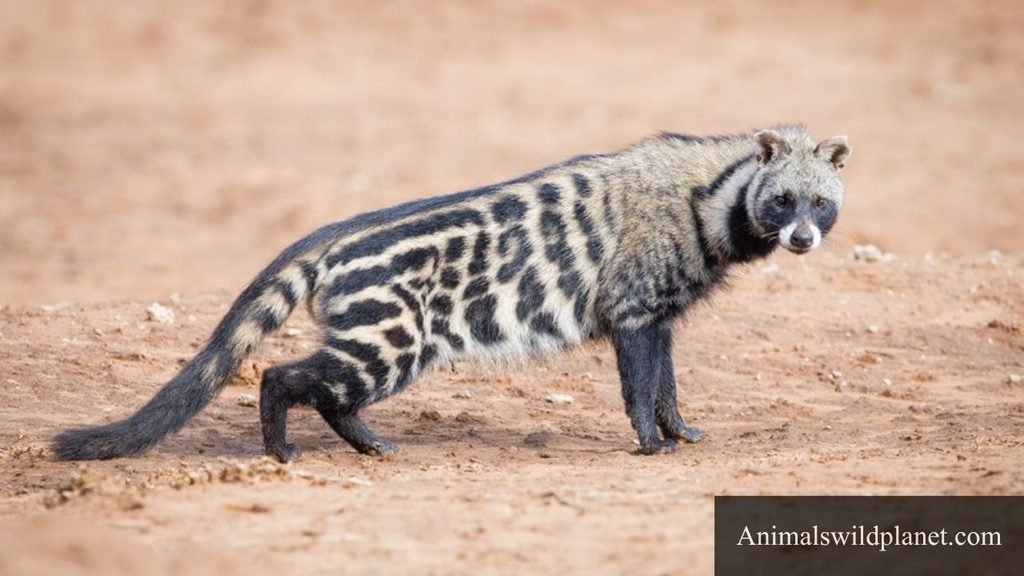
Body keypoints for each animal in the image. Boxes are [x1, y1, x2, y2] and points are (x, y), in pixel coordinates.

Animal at [53, 125, 850, 462]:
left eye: (821, 203)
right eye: (782, 200)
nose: (802, 240)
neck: (708, 194)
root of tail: (334, 235)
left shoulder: (661, 316)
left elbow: (670, 388)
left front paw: (681, 432)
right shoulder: (633, 310)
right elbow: (641, 389)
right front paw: (652, 446)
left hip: (384, 345)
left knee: (329, 393)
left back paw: (367, 443)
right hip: (389, 342)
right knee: (283, 376)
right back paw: (280, 450)